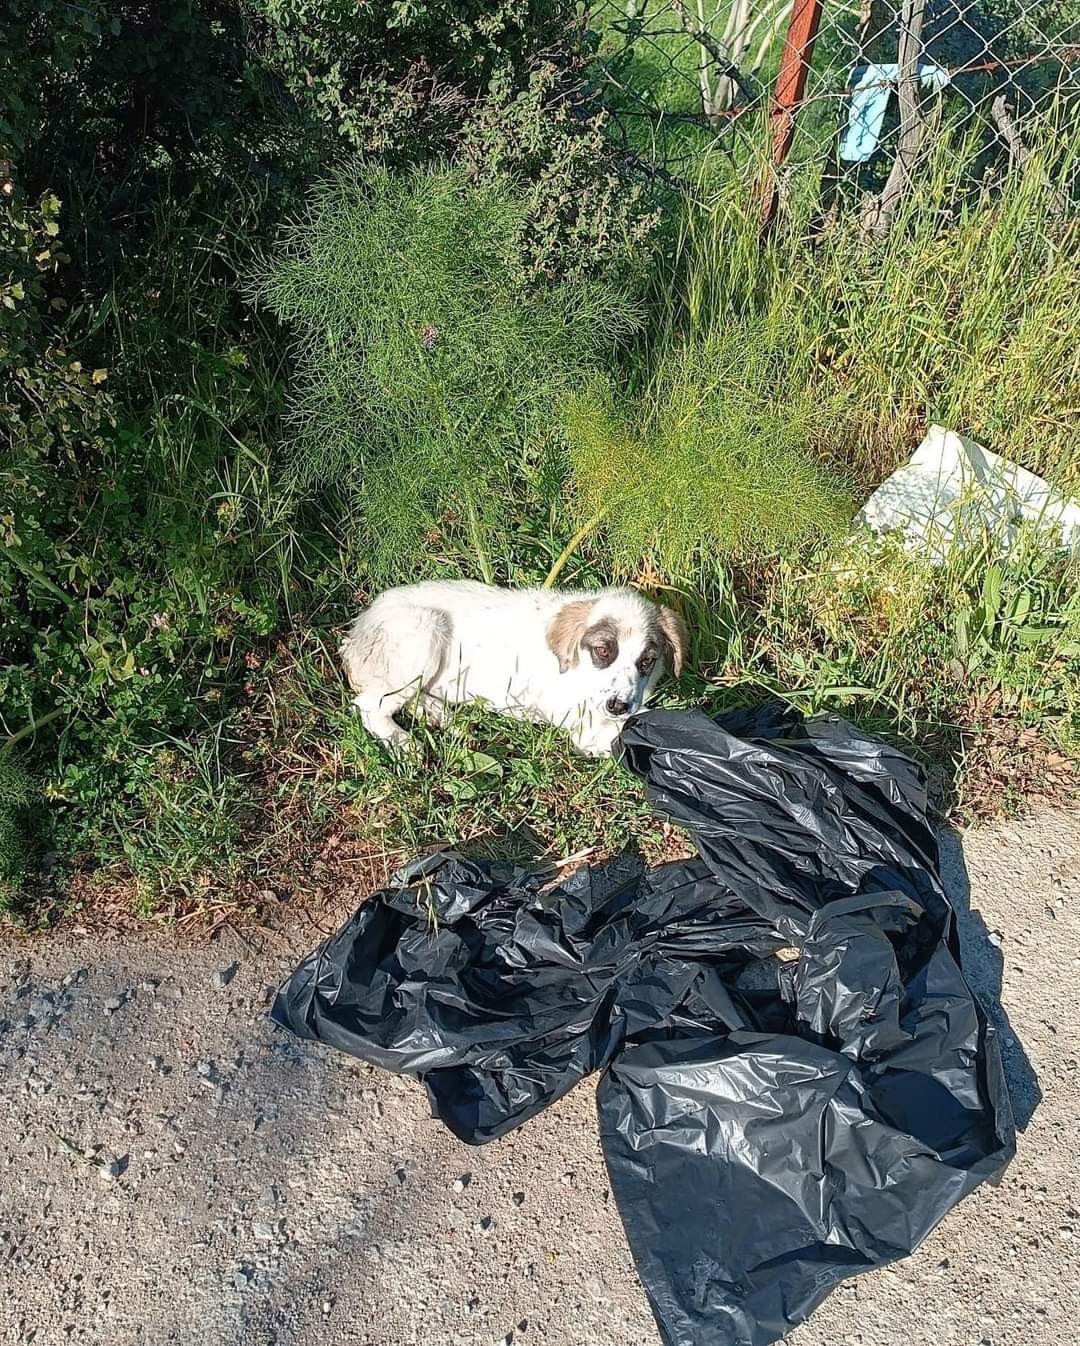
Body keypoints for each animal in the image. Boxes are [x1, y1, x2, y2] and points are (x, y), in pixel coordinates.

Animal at [340, 581, 686, 759]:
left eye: (646, 661)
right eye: (603, 651)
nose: (617, 706)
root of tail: (355, 634)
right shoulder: (586, 730)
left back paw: (440, 715)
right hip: (423, 632)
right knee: (370, 705)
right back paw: (402, 741)